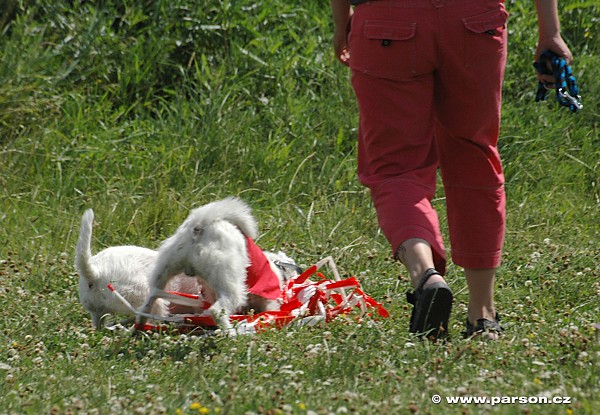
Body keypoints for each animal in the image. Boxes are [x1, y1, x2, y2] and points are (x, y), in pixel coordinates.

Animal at [135, 198, 296, 334]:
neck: (276, 266)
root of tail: (199, 227)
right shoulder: (269, 298)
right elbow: (271, 307)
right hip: (230, 282)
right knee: (217, 310)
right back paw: (230, 333)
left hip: (164, 270)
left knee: (148, 302)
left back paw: (140, 327)